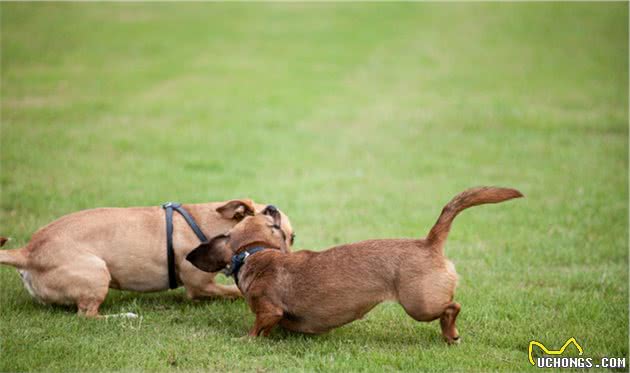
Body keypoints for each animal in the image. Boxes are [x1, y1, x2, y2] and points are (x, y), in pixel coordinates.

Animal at [0, 199, 296, 318]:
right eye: (284, 235)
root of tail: (28, 252)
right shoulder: (200, 287)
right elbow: (232, 292)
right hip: (96, 272)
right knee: (87, 316)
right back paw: (125, 316)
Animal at [186, 187, 524, 342]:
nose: (271, 207)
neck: (255, 253)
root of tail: (428, 242)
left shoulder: (269, 311)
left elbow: (257, 328)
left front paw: (245, 339)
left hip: (420, 305)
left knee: (453, 307)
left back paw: (450, 332)